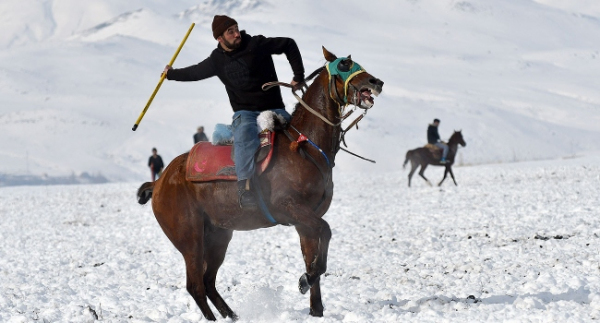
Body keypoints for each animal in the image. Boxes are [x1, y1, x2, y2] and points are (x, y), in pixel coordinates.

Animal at [136, 47, 384, 322]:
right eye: (344, 65)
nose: (376, 82)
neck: (307, 147)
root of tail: (159, 182)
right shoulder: (289, 208)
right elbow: (325, 234)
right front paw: (304, 281)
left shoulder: (305, 220)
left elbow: (314, 254)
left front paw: (315, 307)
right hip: (189, 237)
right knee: (196, 285)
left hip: (219, 234)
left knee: (208, 281)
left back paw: (233, 315)